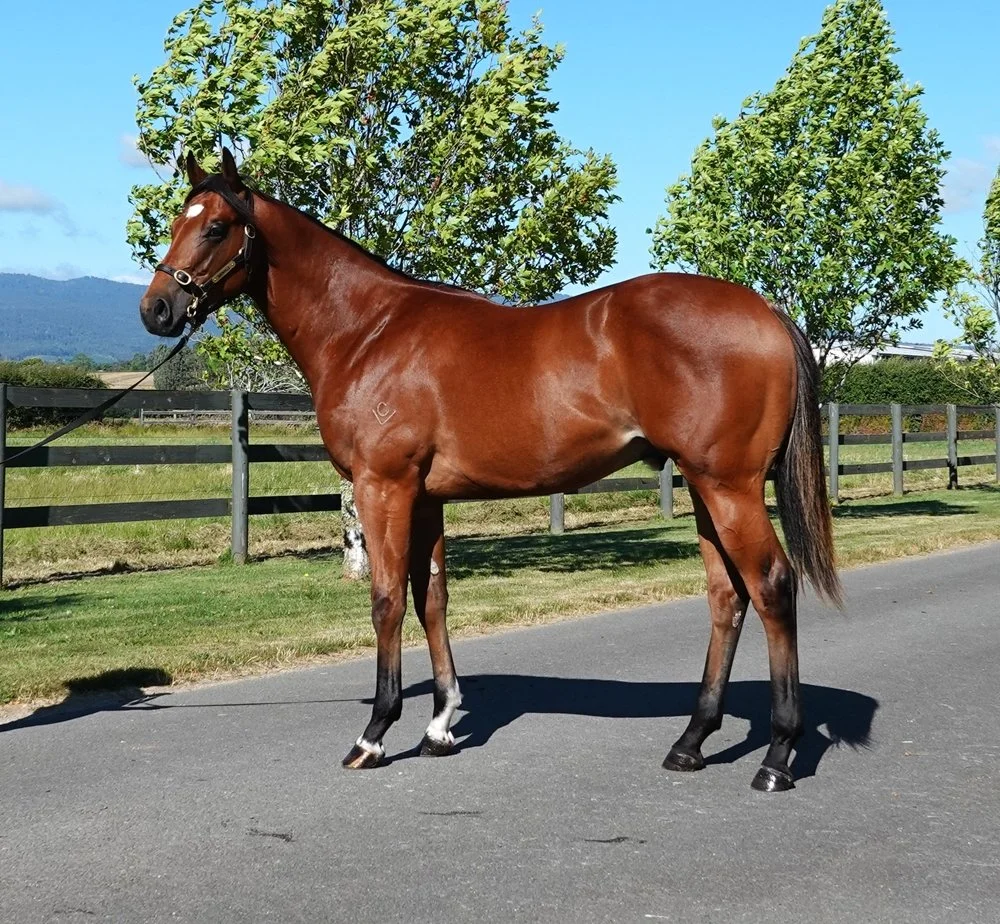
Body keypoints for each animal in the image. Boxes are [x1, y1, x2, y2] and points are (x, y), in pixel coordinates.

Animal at [139, 149, 842, 792]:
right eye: (177, 220)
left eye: (215, 227)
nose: (157, 309)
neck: (368, 331)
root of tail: (768, 313)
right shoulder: (425, 498)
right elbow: (433, 599)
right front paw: (440, 725)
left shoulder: (383, 487)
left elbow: (387, 600)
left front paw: (375, 734)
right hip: (704, 487)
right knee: (728, 596)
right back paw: (691, 742)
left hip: (729, 488)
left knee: (772, 586)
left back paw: (778, 756)